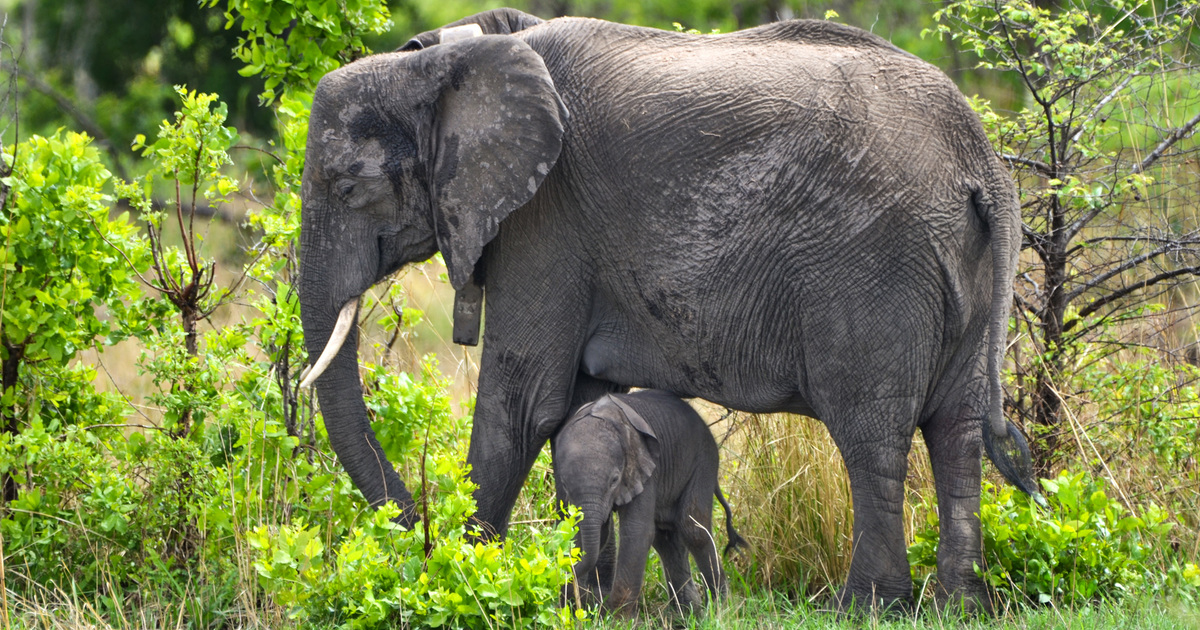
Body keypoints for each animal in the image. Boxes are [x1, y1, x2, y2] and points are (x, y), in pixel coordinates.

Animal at [552, 390, 746, 617]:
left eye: (614, 480)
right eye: (564, 483)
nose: (562, 571)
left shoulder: (644, 468)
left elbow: (637, 532)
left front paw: (619, 619)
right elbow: (586, 532)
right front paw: (571, 610)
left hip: (704, 460)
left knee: (693, 529)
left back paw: (720, 610)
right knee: (666, 538)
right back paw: (686, 615)